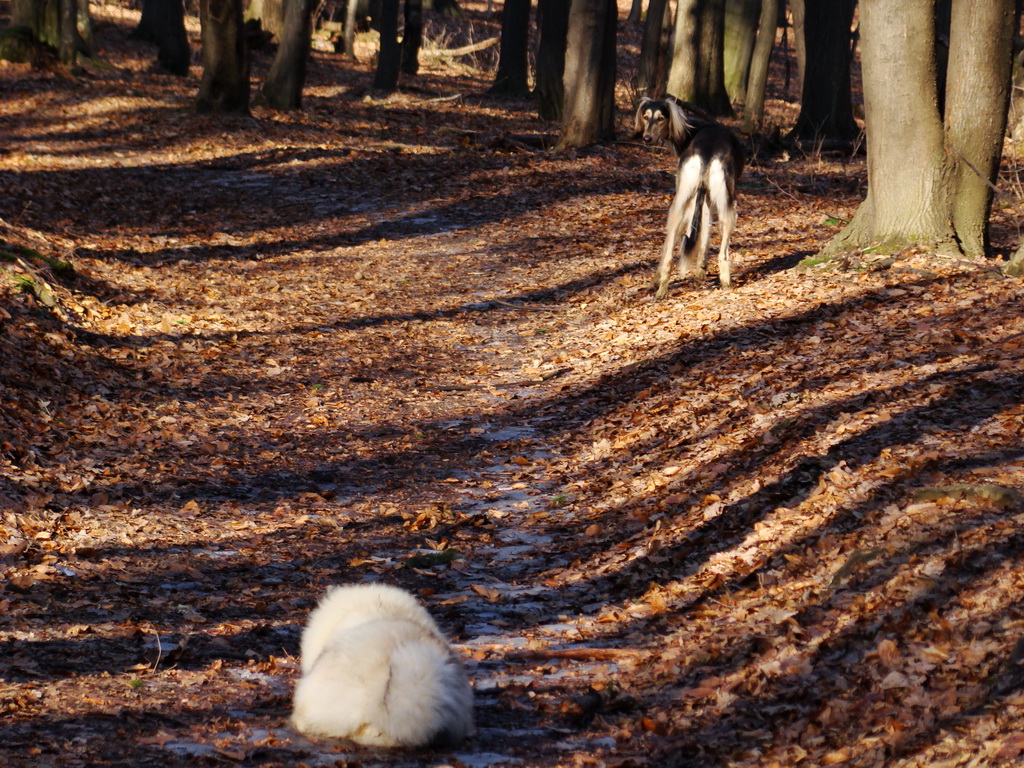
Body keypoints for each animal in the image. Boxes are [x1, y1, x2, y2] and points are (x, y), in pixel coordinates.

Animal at [630, 97, 745, 296]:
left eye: (661, 118)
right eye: (645, 116)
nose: (647, 138)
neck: (691, 130)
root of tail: (707, 149)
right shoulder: (705, 198)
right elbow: (704, 234)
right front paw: (700, 271)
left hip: (681, 203)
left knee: (669, 248)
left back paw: (661, 286)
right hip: (726, 205)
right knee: (722, 253)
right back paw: (724, 281)